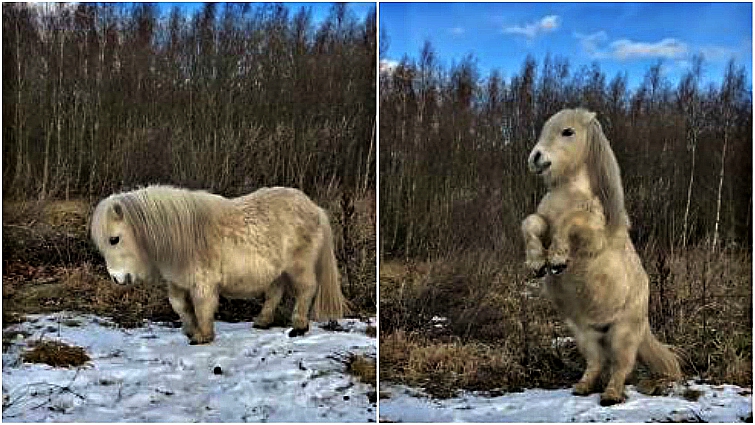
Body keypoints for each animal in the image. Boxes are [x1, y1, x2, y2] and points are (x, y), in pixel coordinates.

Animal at [91, 185, 348, 344]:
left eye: (114, 239)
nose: (117, 279)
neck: (184, 237)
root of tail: (315, 208)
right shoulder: (176, 282)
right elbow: (180, 306)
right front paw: (190, 330)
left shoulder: (203, 283)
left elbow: (202, 307)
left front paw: (203, 336)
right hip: (277, 271)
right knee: (275, 293)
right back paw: (262, 321)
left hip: (299, 266)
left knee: (306, 290)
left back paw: (299, 326)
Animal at [521, 108, 681, 405]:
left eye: (568, 132)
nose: (535, 158)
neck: (568, 194)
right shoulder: (543, 222)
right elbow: (531, 222)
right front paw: (537, 263)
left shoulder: (592, 234)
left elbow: (569, 221)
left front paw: (557, 260)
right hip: (585, 332)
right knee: (596, 362)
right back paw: (582, 387)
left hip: (622, 333)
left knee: (621, 365)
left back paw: (611, 395)